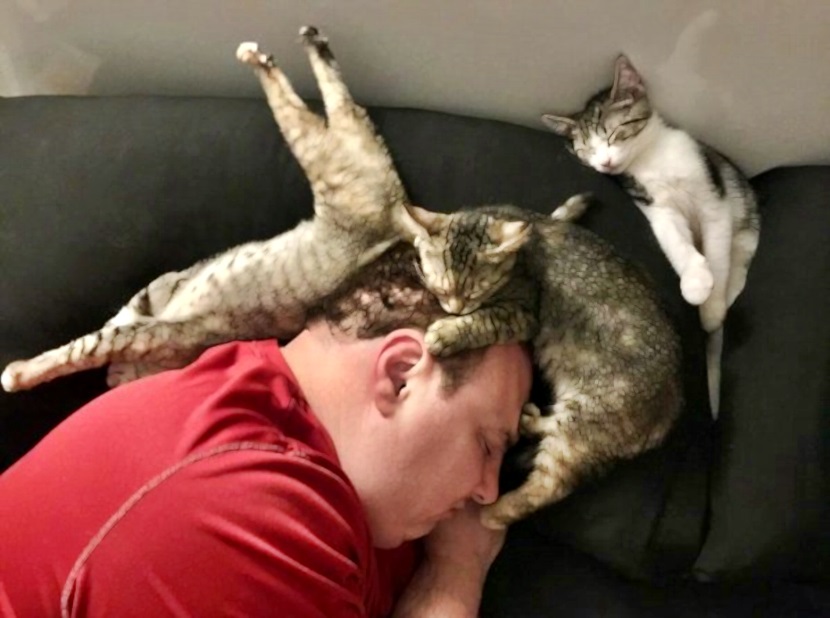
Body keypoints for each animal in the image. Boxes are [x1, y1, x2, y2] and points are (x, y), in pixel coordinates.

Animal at [1, 27, 412, 393]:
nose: (111, 379)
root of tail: (397, 211)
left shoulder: (147, 331)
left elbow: (82, 347)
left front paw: (18, 374)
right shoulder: (152, 300)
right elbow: (112, 323)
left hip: (320, 153)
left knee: (318, 100)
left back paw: (269, 53)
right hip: (333, 148)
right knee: (341, 102)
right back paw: (303, 42)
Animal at [398, 201, 683, 530]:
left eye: (473, 293)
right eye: (442, 290)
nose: (455, 309)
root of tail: (669, 411)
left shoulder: (522, 314)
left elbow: (484, 321)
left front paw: (447, 333)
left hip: (583, 423)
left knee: (546, 487)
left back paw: (493, 514)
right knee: (551, 428)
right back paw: (531, 420)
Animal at [540, 55, 760, 418]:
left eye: (614, 133)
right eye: (586, 151)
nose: (604, 163)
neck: (651, 159)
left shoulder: (714, 199)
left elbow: (717, 251)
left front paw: (710, 308)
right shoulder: (656, 207)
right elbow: (674, 242)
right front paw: (695, 281)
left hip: (744, 208)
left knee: (739, 255)